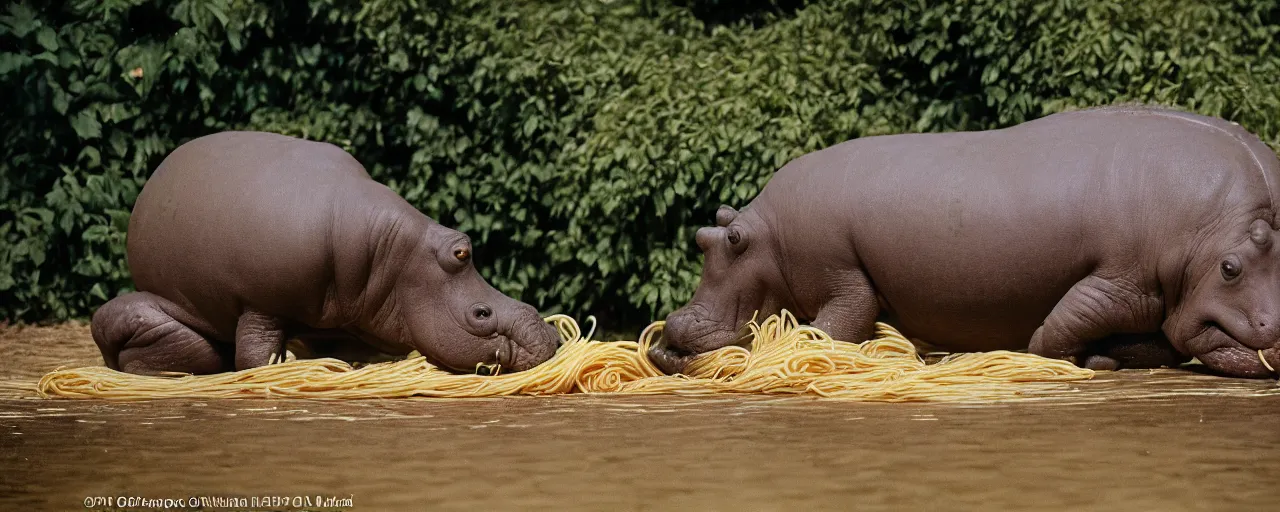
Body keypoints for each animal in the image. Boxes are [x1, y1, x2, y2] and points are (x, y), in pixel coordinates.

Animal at [92, 131, 563, 376]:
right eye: (481, 314)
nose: (550, 332)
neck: (396, 257)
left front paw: (347, 368)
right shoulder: (261, 304)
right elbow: (254, 355)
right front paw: (276, 368)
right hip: (139, 314)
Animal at [650, 103, 1280, 378]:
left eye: (729, 238)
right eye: (707, 236)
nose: (673, 323)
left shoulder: (1122, 281)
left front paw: (1060, 353)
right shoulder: (1123, 280)